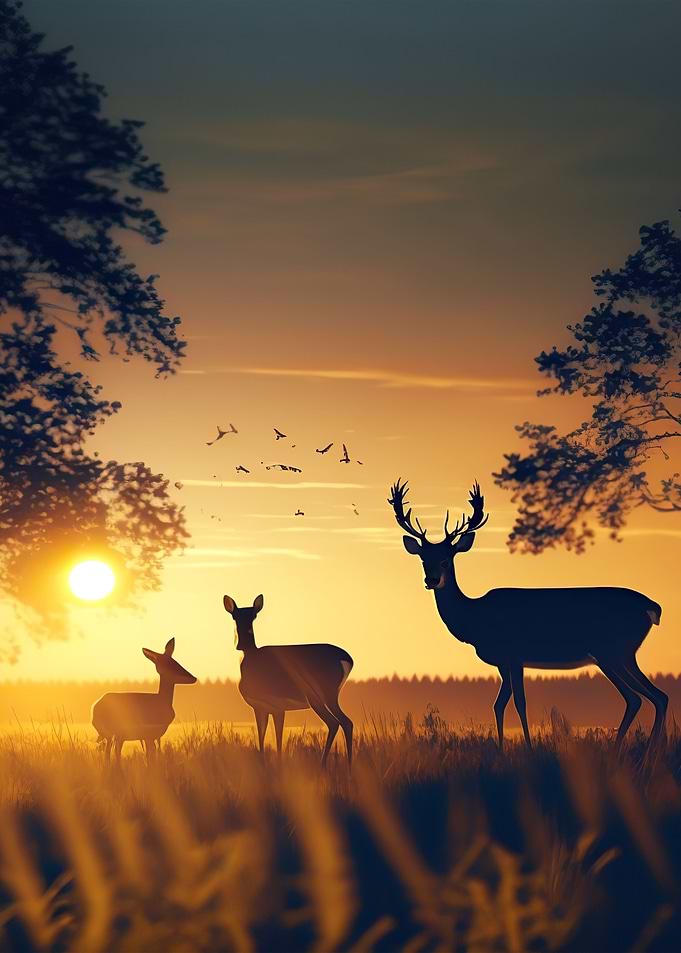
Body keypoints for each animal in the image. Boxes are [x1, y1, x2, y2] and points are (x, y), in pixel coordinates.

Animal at [223, 594, 354, 766]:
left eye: (254, 616)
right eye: (234, 616)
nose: (241, 644)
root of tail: (348, 659)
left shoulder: (271, 706)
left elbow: (273, 738)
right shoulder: (267, 707)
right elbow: (269, 737)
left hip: (323, 693)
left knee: (337, 722)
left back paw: (324, 765)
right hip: (325, 696)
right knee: (345, 722)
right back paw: (347, 766)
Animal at [388, 479, 668, 749]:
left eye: (446, 559)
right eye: (424, 559)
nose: (432, 579)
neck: (475, 620)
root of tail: (652, 606)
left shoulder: (514, 653)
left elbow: (520, 703)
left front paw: (529, 749)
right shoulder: (503, 662)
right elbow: (498, 704)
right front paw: (501, 750)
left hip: (612, 651)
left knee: (638, 698)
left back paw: (625, 751)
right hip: (619, 654)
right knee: (658, 697)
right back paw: (651, 753)